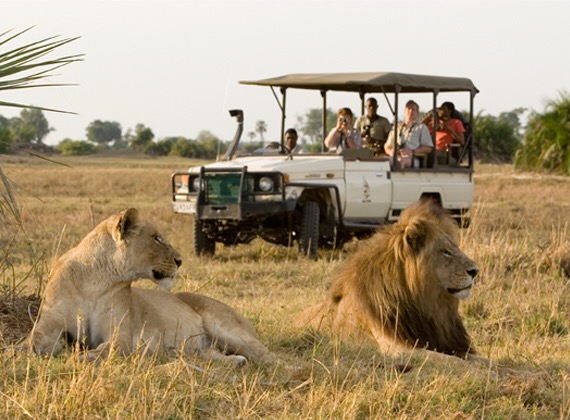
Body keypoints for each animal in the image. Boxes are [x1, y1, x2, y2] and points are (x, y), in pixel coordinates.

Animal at [30, 208, 276, 366]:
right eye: (157, 238)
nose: (180, 261)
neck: (95, 281)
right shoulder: (50, 323)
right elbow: (32, 341)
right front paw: (25, 353)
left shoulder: (121, 335)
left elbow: (105, 350)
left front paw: (80, 357)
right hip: (203, 346)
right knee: (209, 354)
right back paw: (232, 361)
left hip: (228, 329)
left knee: (269, 357)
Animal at [292, 199, 484, 362]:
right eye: (446, 252)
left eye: (455, 248)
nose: (475, 271)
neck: (426, 306)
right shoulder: (398, 348)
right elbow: (454, 362)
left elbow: (480, 360)